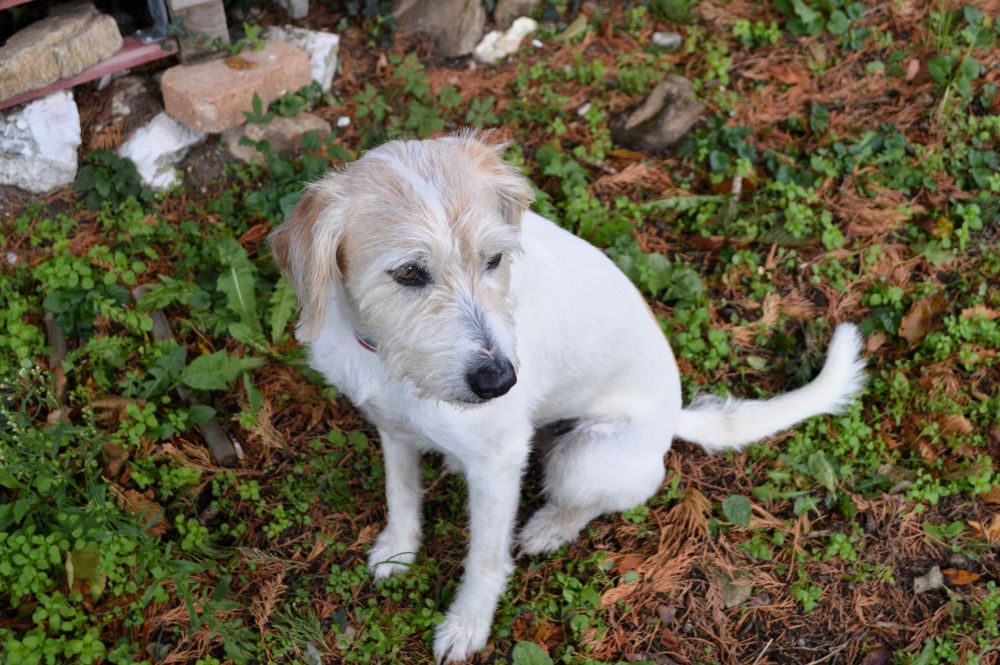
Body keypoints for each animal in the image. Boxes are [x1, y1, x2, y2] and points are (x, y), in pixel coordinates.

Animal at [269, 132, 866, 663]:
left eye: (493, 260)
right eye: (410, 273)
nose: (499, 382)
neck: (388, 359)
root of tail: (673, 419)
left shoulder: (499, 463)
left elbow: (484, 556)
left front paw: (467, 624)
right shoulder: (392, 429)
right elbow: (401, 494)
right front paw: (398, 547)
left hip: (583, 455)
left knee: (603, 497)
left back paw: (549, 526)